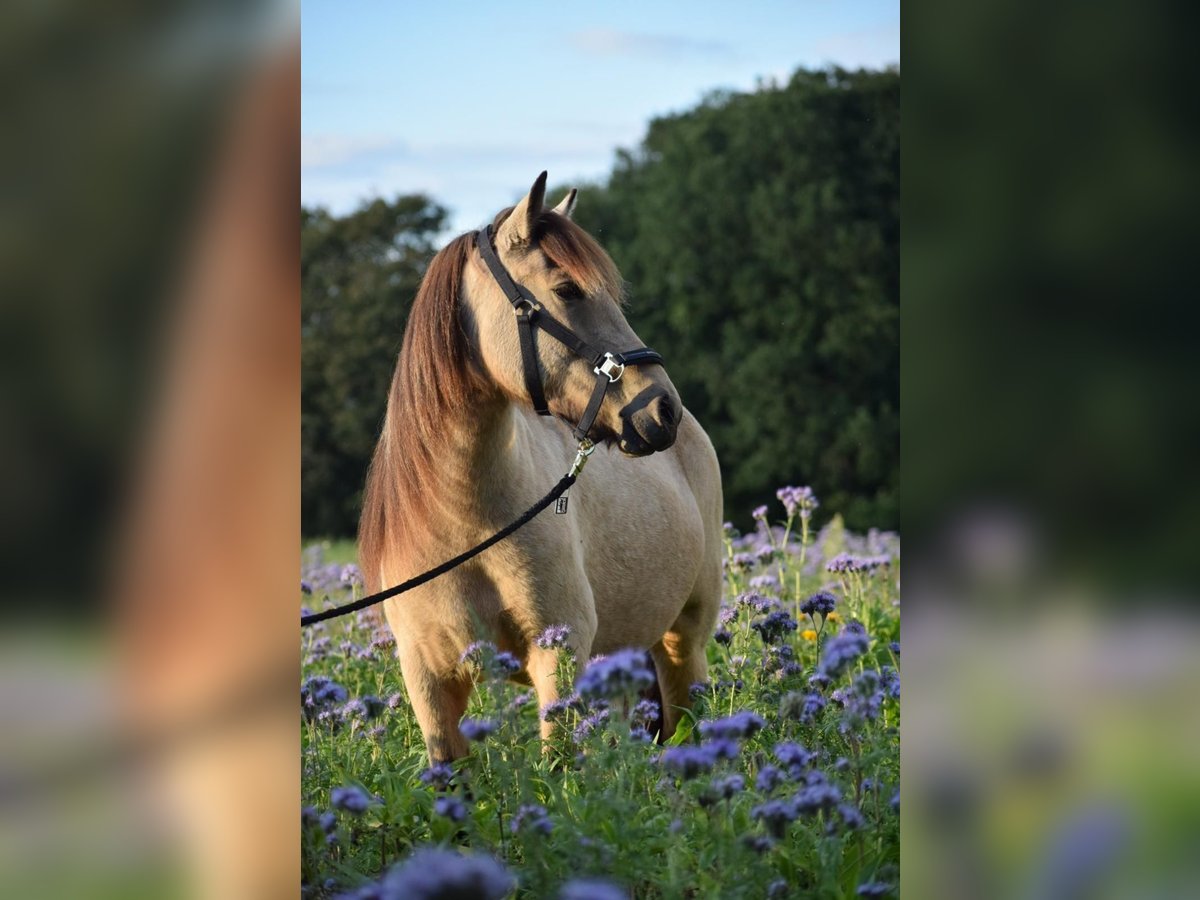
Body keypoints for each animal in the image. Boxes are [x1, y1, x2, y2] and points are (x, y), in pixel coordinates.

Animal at [357, 172, 720, 763]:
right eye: (568, 289)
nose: (663, 409)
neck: (464, 521)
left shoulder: (560, 651)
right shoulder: (428, 681)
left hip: (681, 641)